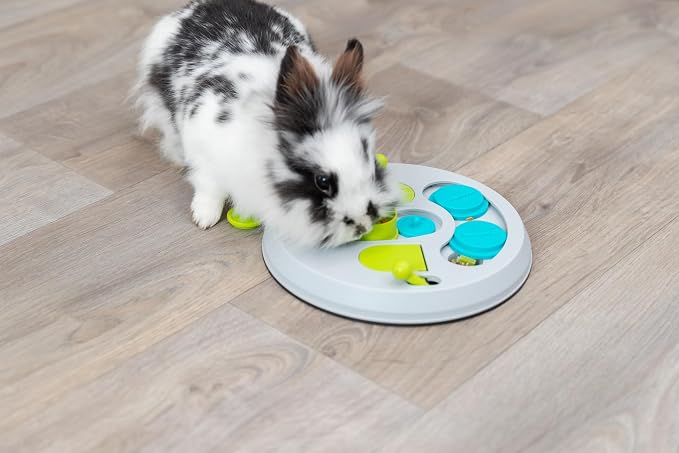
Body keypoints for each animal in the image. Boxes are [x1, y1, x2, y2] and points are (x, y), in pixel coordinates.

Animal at [135, 0, 401, 247]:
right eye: (322, 181)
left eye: (371, 162)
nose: (362, 226)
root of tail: (200, 6)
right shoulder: (203, 152)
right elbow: (209, 188)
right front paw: (203, 218)